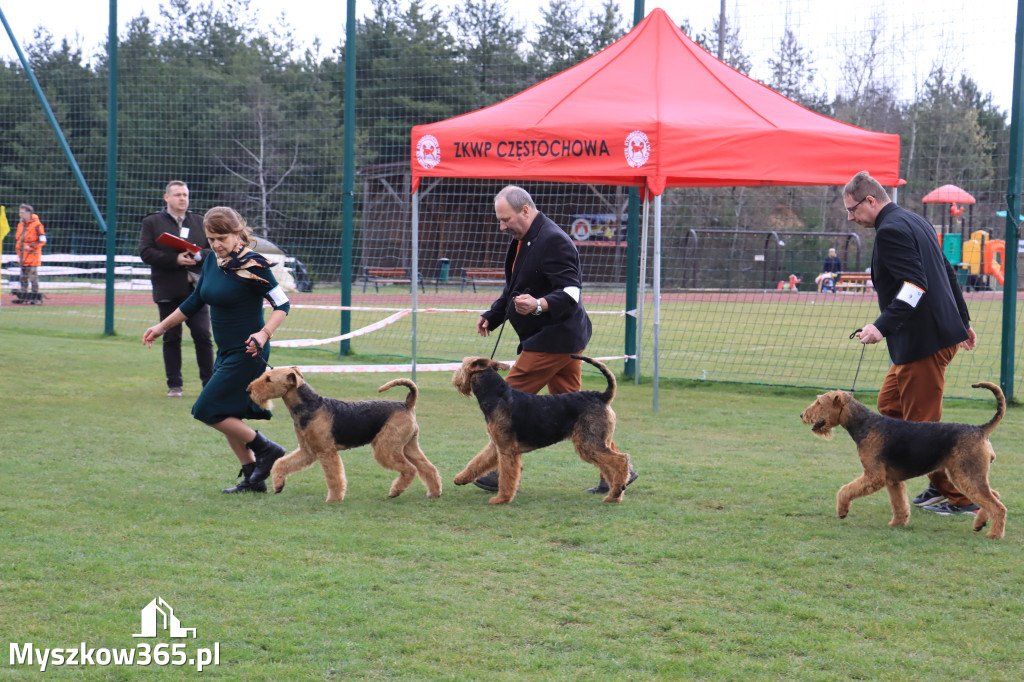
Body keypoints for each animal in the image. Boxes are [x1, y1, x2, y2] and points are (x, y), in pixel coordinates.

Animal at [248, 368, 444, 501]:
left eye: (268, 379)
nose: (249, 389)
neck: (311, 406)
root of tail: (406, 404)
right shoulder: (308, 451)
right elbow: (281, 463)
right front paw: (278, 485)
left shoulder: (326, 452)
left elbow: (334, 477)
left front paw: (334, 499)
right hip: (409, 446)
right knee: (428, 468)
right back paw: (434, 492)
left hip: (386, 448)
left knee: (410, 469)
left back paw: (395, 491)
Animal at [450, 352, 626, 501]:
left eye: (463, 365)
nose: (455, 379)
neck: (496, 395)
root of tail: (602, 396)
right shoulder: (496, 444)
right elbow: (477, 462)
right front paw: (460, 478)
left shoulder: (507, 449)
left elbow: (506, 476)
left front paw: (501, 499)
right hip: (596, 442)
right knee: (609, 468)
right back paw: (614, 495)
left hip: (589, 444)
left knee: (621, 460)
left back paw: (616, 491)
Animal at [794, 382, 1003, 536]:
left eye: (819, 403)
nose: (802, 415)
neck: (865, 424)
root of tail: (980, 430)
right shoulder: (892, 480)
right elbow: (899, 504)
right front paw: (897, 523)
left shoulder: (874, 476)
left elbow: (845, 490)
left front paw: (842, 511)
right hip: (964, 475)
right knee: (995, 495)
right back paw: (980, 524)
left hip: (967, 475)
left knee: (997, 506)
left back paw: (994, 534)